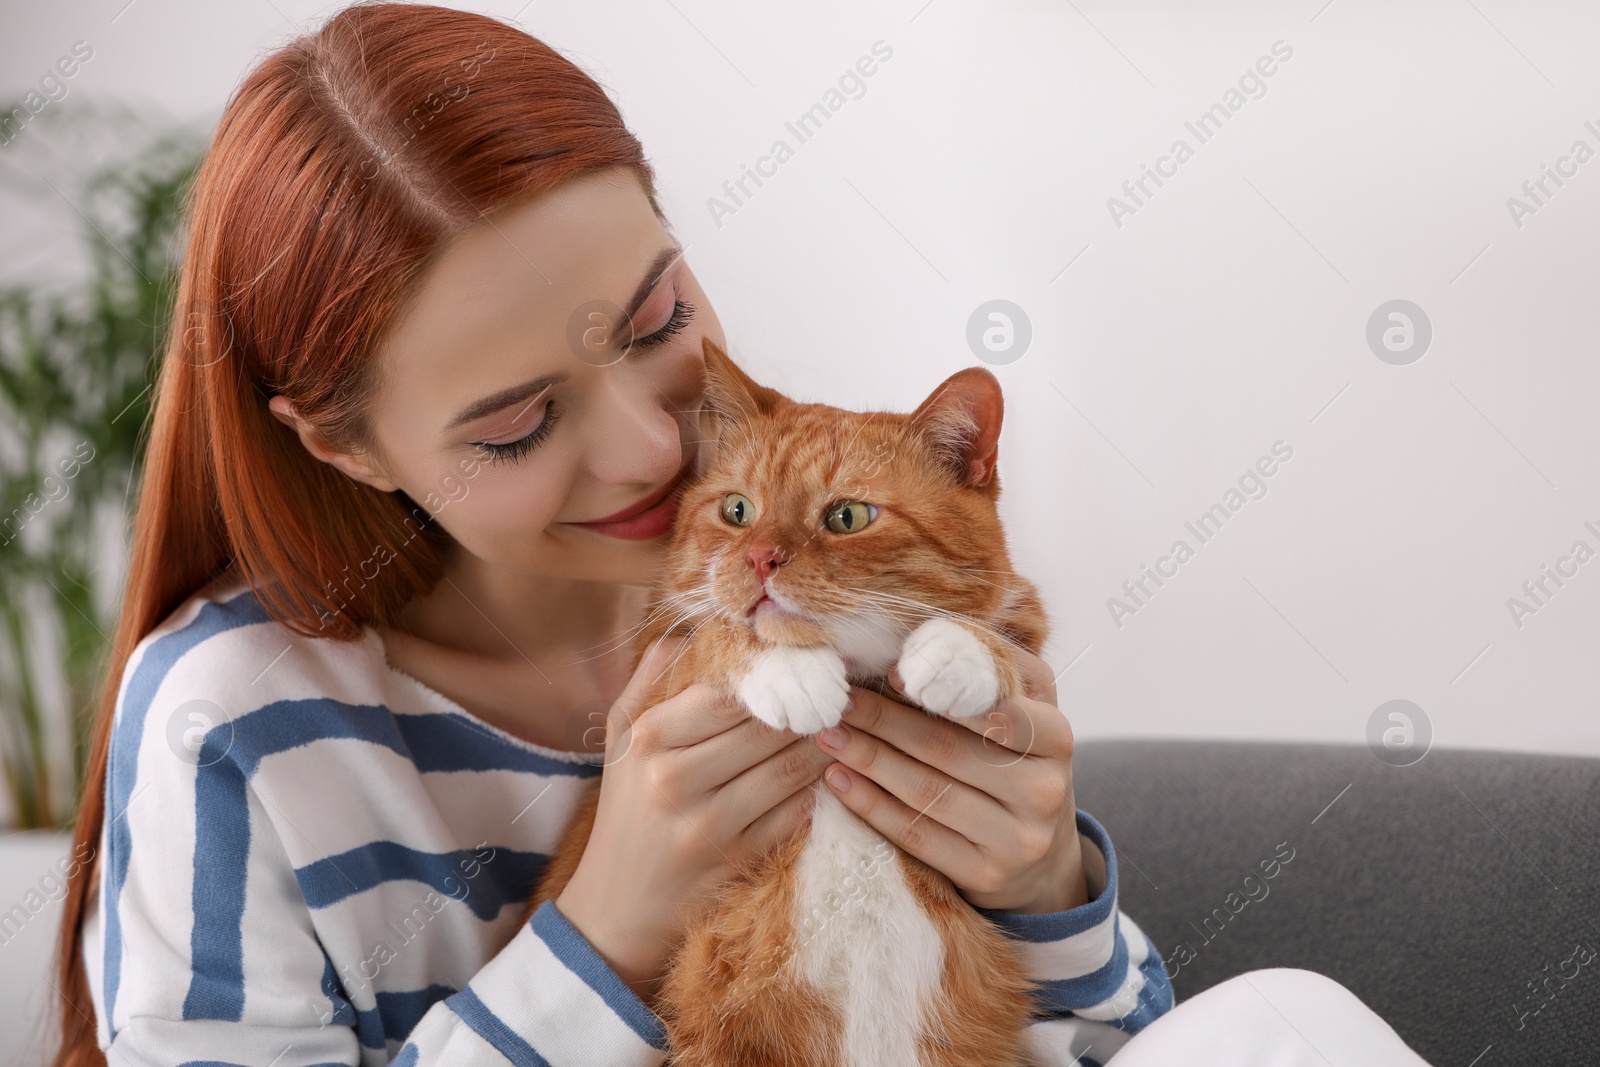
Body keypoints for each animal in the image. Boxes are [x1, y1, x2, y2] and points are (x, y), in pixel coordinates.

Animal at [531, 337, 1056, 1062]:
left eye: (847, 517)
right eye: (736, 511)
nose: (759, 559)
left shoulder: (1025, 621)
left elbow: (1000, 627)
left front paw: (957, 653)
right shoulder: (655, 661)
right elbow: (716, 635)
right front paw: (791, 670)